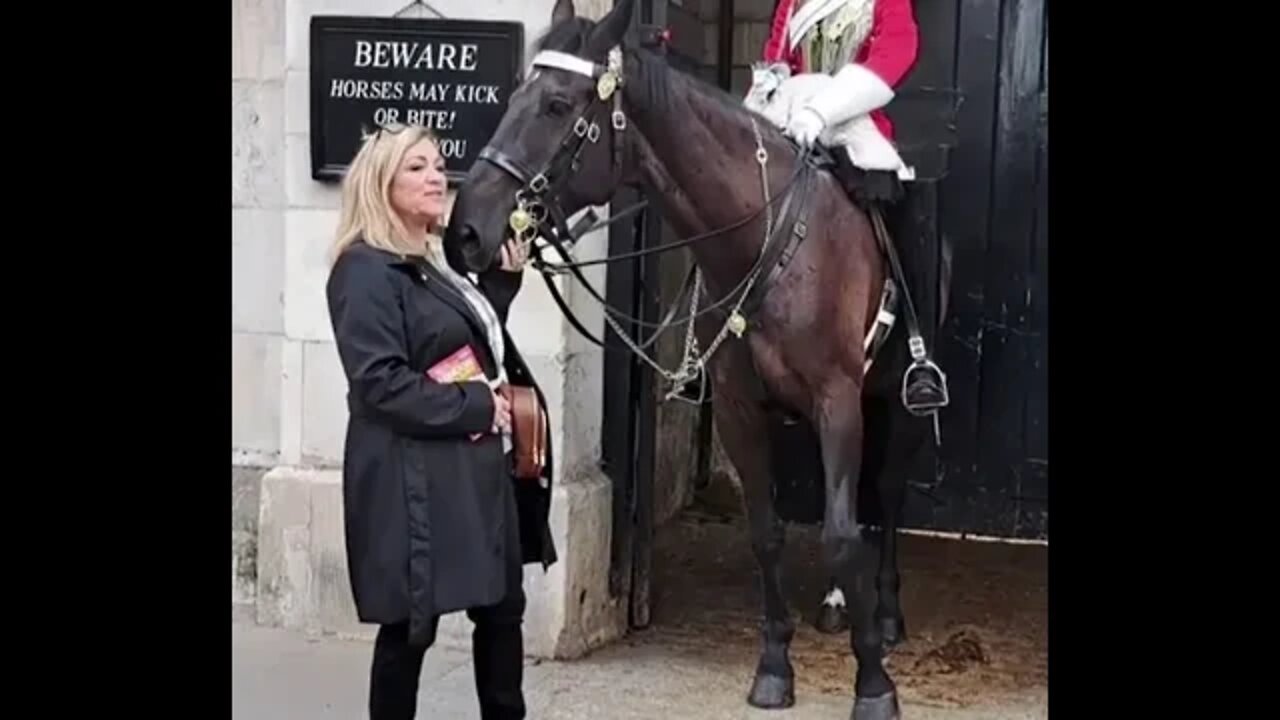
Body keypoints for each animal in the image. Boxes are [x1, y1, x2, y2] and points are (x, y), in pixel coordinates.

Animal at [445, 0, 947, 712]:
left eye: (557, 104)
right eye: (516, 94)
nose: (465, 231)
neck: (762, 237)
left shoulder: (837, 399)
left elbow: (843, 533)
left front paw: (874, 683)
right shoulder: (740, 406)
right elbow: (768, 531)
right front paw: (774, 667)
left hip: (897, 402)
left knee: (889, 495)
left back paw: (887, 613)